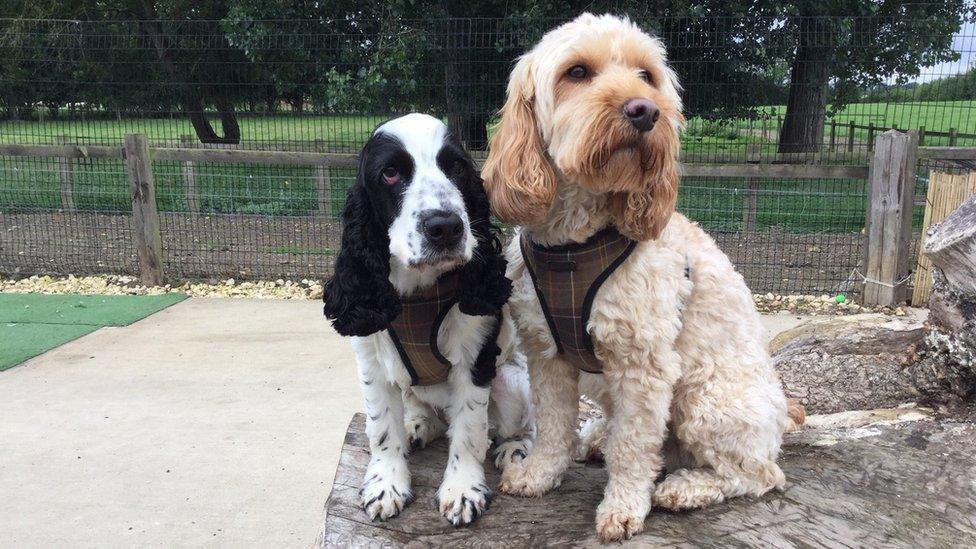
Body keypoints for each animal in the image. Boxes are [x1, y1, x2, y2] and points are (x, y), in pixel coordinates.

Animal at [324, 113, 528, 524]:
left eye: (457, 168)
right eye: (390, 173)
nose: (445, 227)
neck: (418, 291)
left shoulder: (474, 360)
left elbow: (469, 429)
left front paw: (463, 489)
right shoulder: (371, 359)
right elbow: (381, 426)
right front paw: (386, 483)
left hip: (512, 380)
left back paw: (514, 446)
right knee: (418, 403)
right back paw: (418, 424)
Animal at [484, 11, 796, 540]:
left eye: (647, 75)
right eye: (576, 72)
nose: (645, 111)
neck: (574, 244)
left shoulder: (642, 363)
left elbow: (633, 448)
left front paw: (624, 507)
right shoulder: (547, 353)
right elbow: (552, 424)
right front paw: (540, 474)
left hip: (707, 400)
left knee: (758, 473)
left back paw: (686, 487)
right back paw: (596, 439)